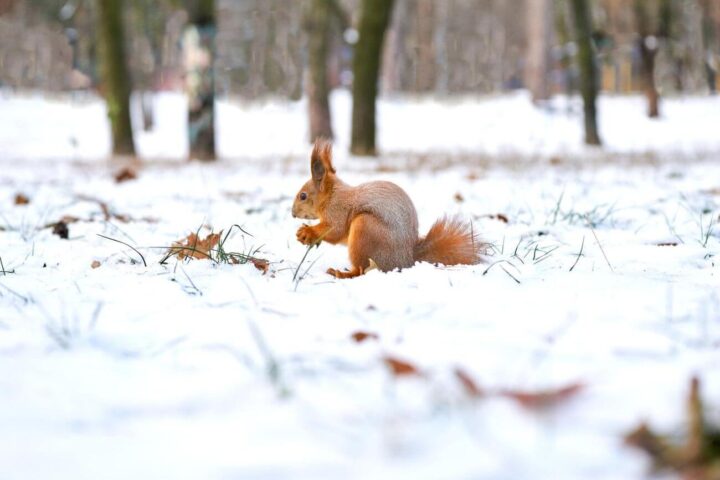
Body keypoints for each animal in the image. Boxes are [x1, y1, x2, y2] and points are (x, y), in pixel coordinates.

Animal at [292, 139, 484, 280]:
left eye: (303, 196)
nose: (292, 213)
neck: (332, 195)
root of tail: (406, 259)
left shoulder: (338, 210)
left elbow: (334, 230)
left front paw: (307, 232)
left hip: (364, 229)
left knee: (361, 270)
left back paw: (341, 273)